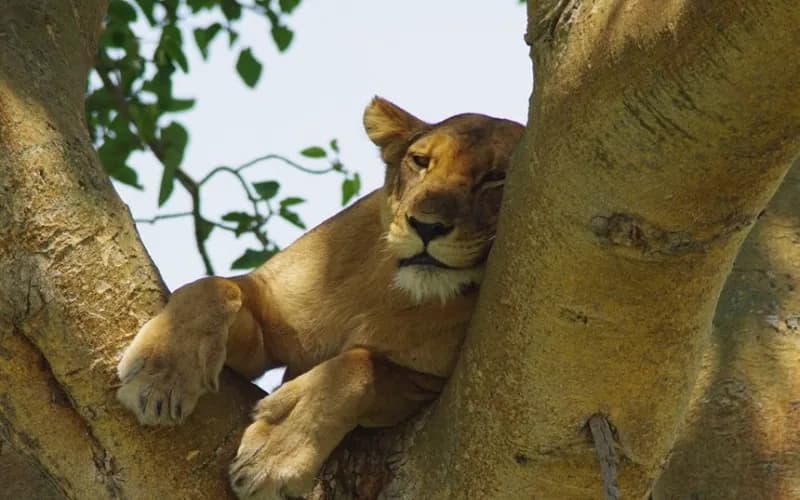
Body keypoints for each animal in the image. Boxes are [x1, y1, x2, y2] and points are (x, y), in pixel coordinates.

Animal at [116, 97, 524, 499]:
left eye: (497, 178)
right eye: (421, 161)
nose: (426, 227)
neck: (390, 291)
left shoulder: (429, 387)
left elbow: (359, 367)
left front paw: (274, 452)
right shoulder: (267, 314)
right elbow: (216, 288)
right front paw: (159, 375)